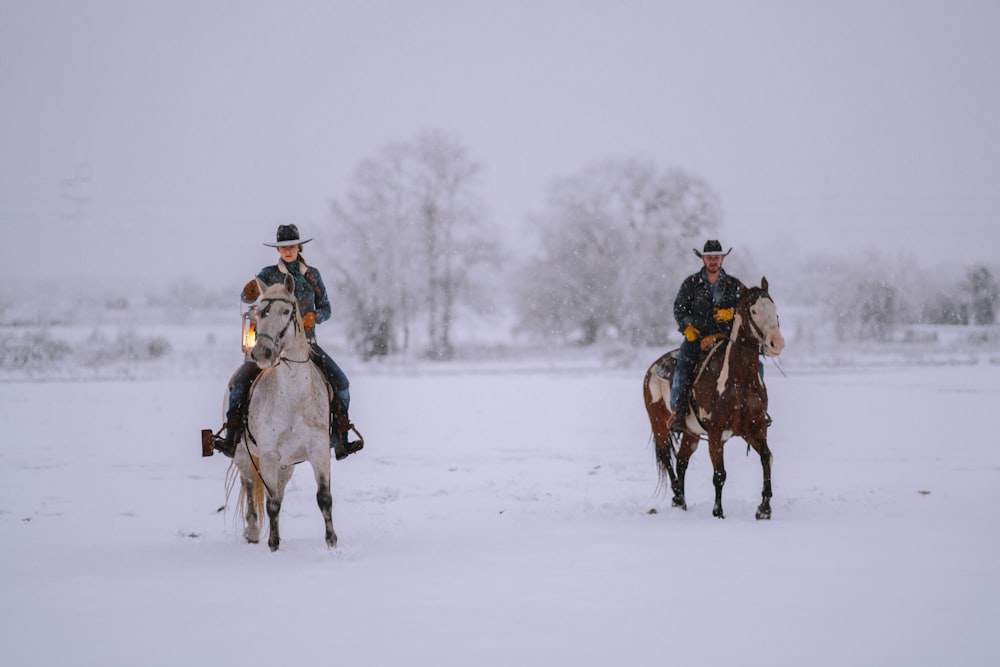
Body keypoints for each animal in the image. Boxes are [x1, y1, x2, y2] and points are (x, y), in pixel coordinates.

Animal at [227, 274, 336, 552]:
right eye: (260, 311)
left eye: (286, 311)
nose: (262, 353)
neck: (294, 398)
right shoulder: (268, 455)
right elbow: (272, 501)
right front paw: (274, 545)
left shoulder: (319, 450)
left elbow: (324, 498)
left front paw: (332, 542)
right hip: (244, 455)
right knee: (250, 485)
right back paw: (253, 531)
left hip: (287, 466)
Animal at [644, 276, 784, 520]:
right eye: (754, 310)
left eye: (774, 308)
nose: (777, 342)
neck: (738, 383)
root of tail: (653, 367)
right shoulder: (716, 434)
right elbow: (719, 473)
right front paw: (718, 512)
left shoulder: (754, 428)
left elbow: (767, 457)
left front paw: (764, 508)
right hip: (659, 424)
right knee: (666, 458)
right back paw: (677, 496)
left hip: (690, 433)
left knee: (681, 461)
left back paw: (681, 501)